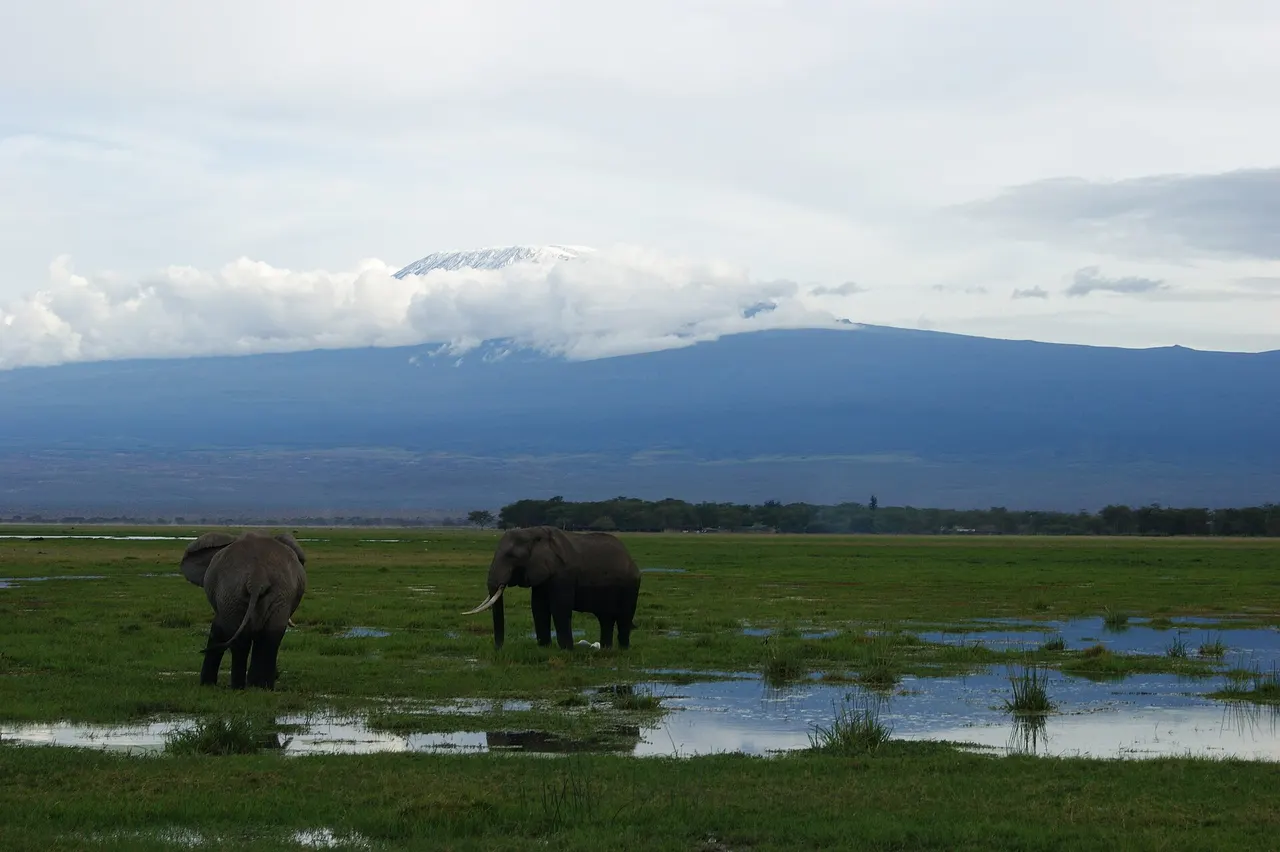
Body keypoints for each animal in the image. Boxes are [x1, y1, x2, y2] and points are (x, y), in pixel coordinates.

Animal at [180, 530, 307, 690]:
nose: (278, 675)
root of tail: (257, 576)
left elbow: (217, 630)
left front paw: (207, 684)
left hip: (235, 593)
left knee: (244, 640)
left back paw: (241, 686)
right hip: (273, 594)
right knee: (270, 637)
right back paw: (260, 687)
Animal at [463, 525, 641, 651]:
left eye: (511, 556)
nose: (498, 649)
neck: (534, 533)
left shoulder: (563, 574)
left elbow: (559, 607)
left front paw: (566, 650)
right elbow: (538, 607)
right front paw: (544, 648)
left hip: (631, 585)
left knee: (624, 617)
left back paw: (623, 649)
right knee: (605, 618)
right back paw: (606, 649)